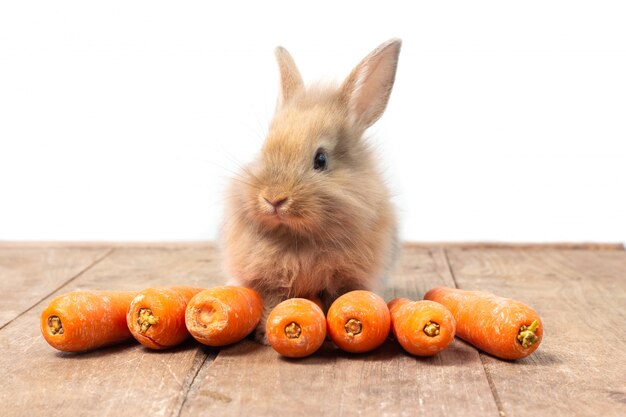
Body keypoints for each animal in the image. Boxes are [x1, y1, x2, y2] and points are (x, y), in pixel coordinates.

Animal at [221, 39, 400, 344]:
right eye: (264, 150)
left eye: (321, 159)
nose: (273, 199)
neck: (298, 237)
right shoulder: (267, 281)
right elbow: (274, 302)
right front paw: (265, 335)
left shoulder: (346, 279)